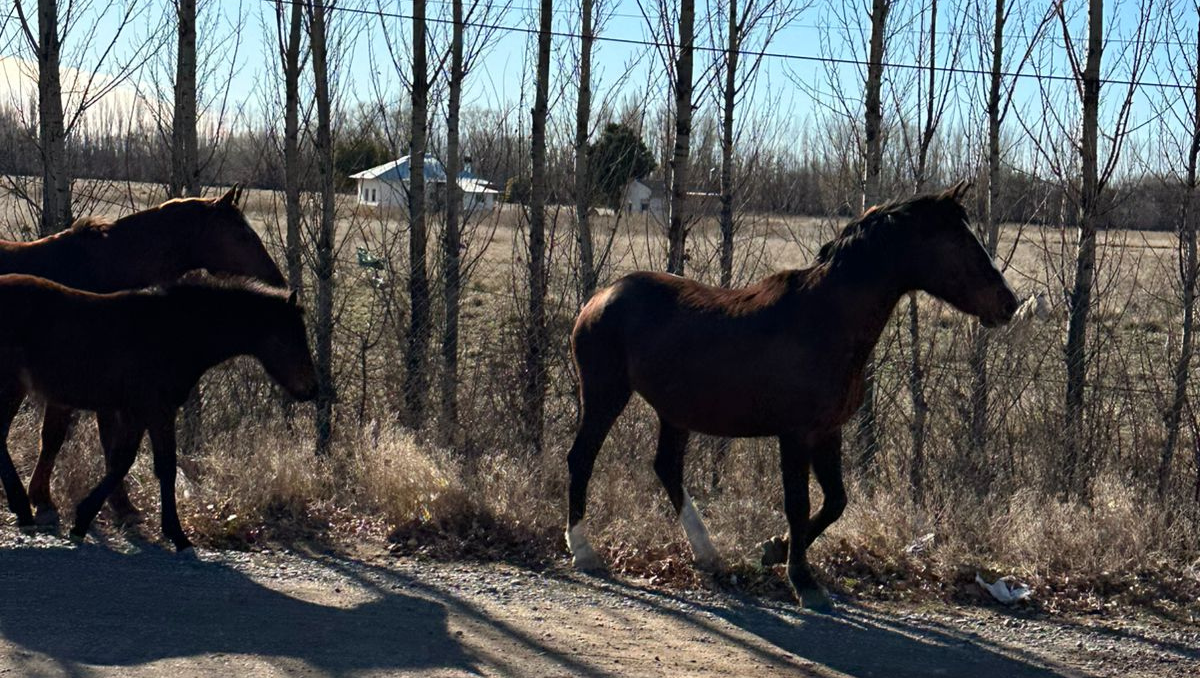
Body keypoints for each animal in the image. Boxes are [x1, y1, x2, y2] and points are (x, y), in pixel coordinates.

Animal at [0, 186, 286, 525]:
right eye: (241, 234)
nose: (278, 280)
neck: (103, 270)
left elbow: (107, 445)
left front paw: (119, 505)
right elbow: (57, 437)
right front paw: (44, 499)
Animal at [0, 272, 317, 553]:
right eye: (287, 339)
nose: (311, 389)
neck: (173, 333)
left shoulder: (138, 414)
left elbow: (123, 463)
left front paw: (84, 520)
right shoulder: (157, 410)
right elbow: (161, 467)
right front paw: (178, 536)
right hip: (10, 388)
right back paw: (24, 511)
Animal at [564, 182, 1019, 610]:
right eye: (960, 241)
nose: (1009, 303)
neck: (824, 320)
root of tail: (600, 297)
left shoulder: (827, 432)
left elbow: (836, 501)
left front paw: (775, 549)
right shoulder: (796, 435)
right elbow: (799, 503)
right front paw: (803, 580)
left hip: (674, 411)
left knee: (667, 468)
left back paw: (707, 553)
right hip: (606, 395)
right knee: (582, 457)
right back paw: (584, 551)